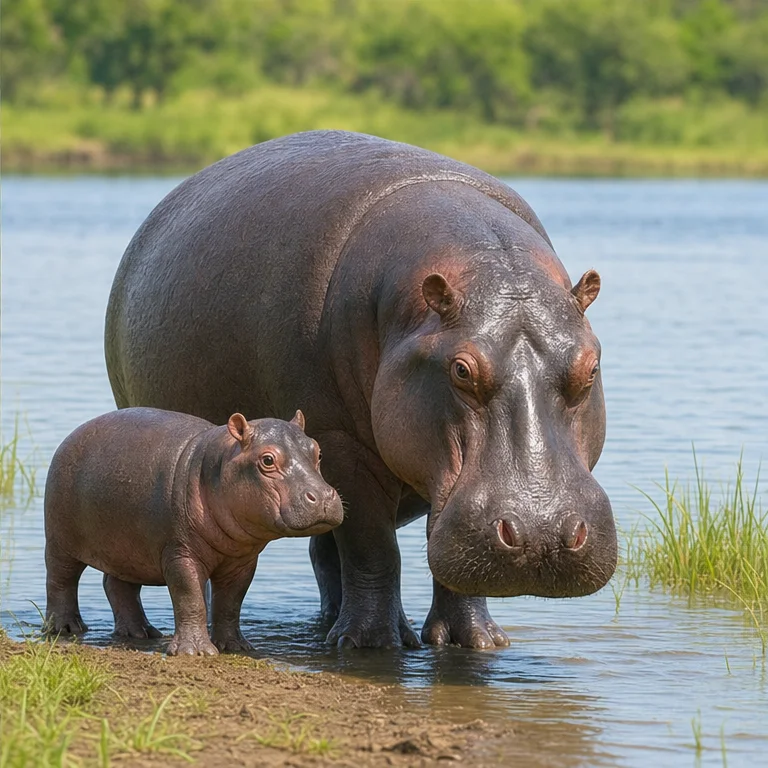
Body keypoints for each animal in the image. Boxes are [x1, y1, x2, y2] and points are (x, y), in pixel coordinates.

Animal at [44, 407, 342, 655]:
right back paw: (66, 628)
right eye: (267, 459)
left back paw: (142, 633)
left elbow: (231, 603)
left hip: (127, 548)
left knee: (118, 586)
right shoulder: (179, 553)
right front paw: (195, 652)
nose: (324, 496)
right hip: (59, 540)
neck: (221, 462)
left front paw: (236, 647)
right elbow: (190, 597)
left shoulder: (242, 562)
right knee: (60, 580)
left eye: (317, 452)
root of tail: (74, 433)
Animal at [105, 130, 617, 650]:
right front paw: (371, 643)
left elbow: (445, 560)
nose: (540, 534)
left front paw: (477, 642)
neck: (486, 261)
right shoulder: (337, 443)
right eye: (460, 370)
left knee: (327, 552)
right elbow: (373, 548)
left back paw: (332, 622)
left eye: (591, 365)